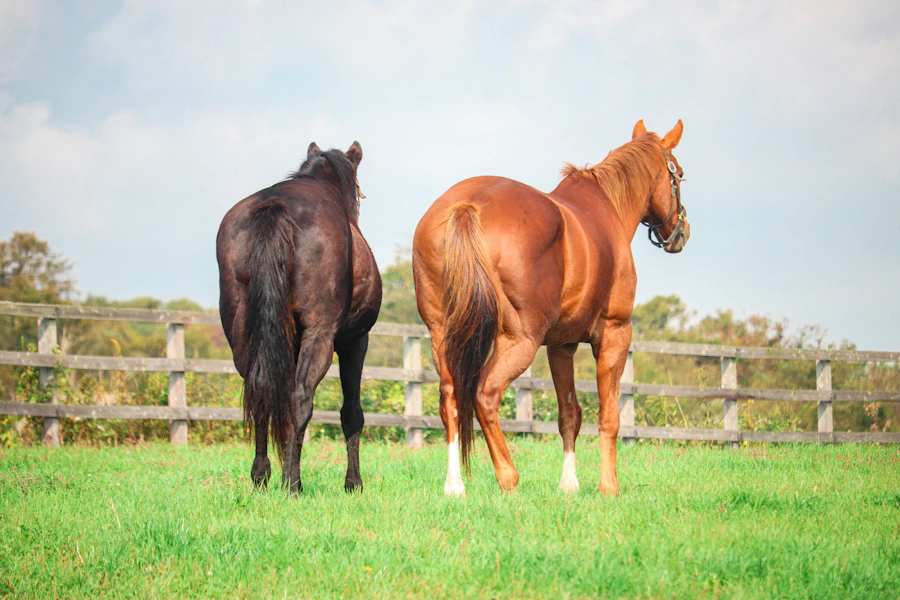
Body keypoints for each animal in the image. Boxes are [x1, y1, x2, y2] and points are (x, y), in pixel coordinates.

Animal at [217, 142, 382, 494]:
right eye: (359, 193)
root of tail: (274, 206)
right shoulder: (355, 342)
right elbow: (352, 413)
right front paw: (353, 483)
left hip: (244, 333)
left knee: (260, 388)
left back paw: (262, 477)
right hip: (320, 336)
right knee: (300, 397)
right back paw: (293, 483)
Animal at [412, 120, 689, 496]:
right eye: (680, 175)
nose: (681, 232)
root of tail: (466, 206)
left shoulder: (562, 345)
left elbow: (569, 414)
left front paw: (569, 484)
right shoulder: (615, 334)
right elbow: (609, 416)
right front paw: (608, 486)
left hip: (443, 335)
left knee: (450, 398)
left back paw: (455, 486)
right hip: (519, 341)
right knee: (486, 395)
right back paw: (508, 477)